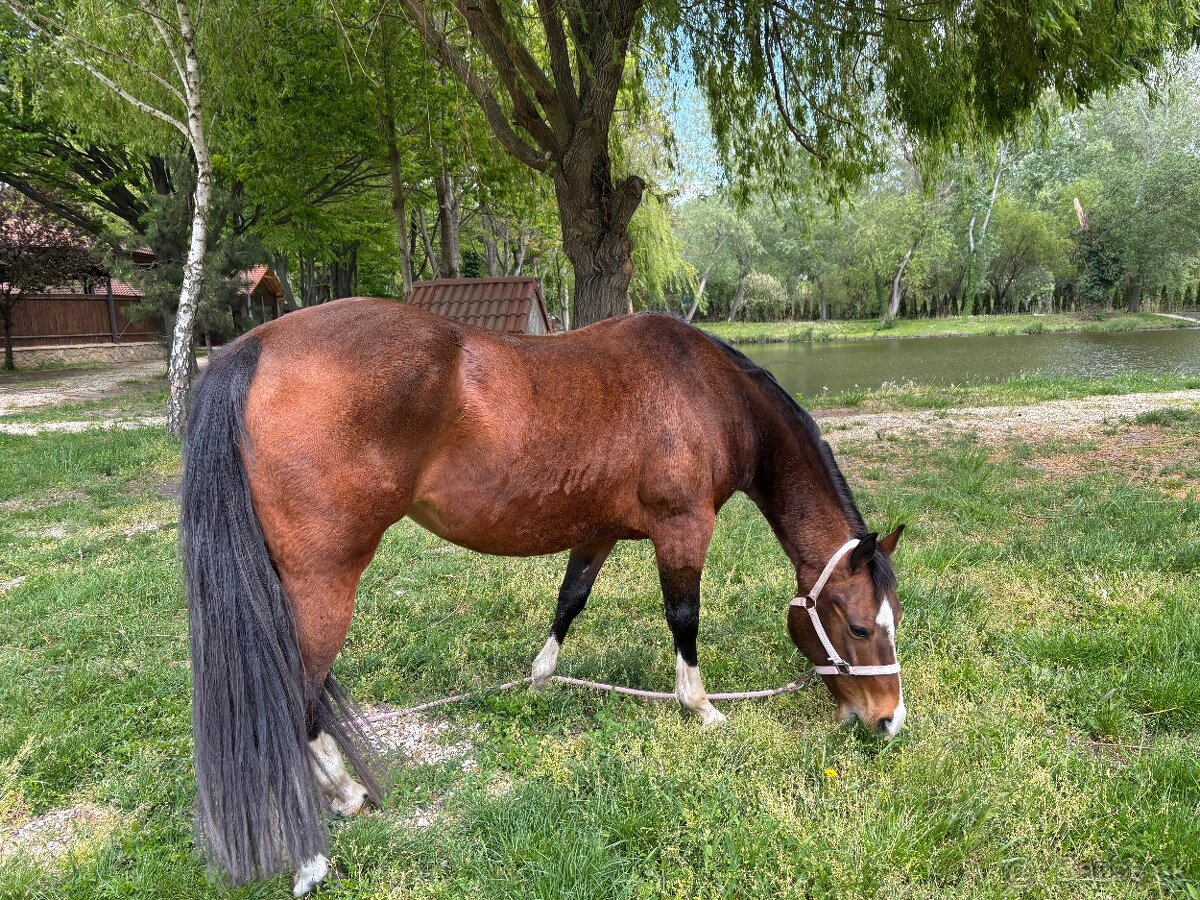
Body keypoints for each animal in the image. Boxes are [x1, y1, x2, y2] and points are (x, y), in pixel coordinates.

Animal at [179, 297, 906, 894]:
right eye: (860, 627)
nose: (889, 721)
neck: (706, 390)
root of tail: (255, 347)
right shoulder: (683, 529)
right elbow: (684, 617)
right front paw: (700, 707)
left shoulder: (598, 532)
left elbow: (570, 600)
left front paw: (540, 678)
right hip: (325, 582)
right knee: (294, 698)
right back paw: (323, 838)